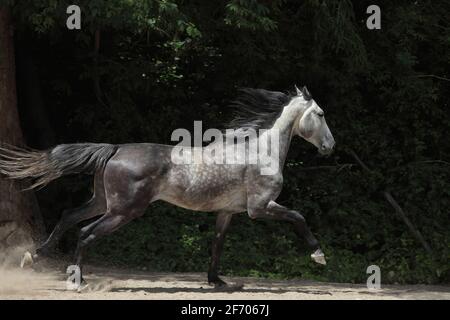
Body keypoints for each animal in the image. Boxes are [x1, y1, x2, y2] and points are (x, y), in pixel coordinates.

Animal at [0, 86, 334, 288]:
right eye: (320, 114)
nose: (330, 146)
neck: (260, 153)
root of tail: (115, 149)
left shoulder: (226, 212)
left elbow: (217, 244)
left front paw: (217, 282)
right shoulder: (260, 207)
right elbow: (298, 217)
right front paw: (319, 255)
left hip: (104, 202)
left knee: (69, 216)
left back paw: (34, 256)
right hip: (124, 210)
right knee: (85, 232)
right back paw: (76, 279)